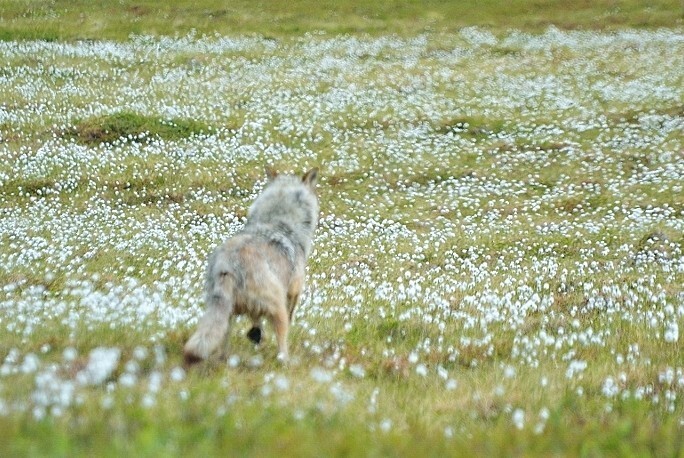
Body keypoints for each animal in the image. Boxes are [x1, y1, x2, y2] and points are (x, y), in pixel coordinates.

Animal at [183, 168, 320, 364]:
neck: (279, 223)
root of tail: (227, 266)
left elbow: (255, 320)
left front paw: (255, 335)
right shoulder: (294, 290)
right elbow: (290, 312)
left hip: (223, 313)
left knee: (221, 341)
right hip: (276, 306)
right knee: (281, 339)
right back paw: (285, 361)